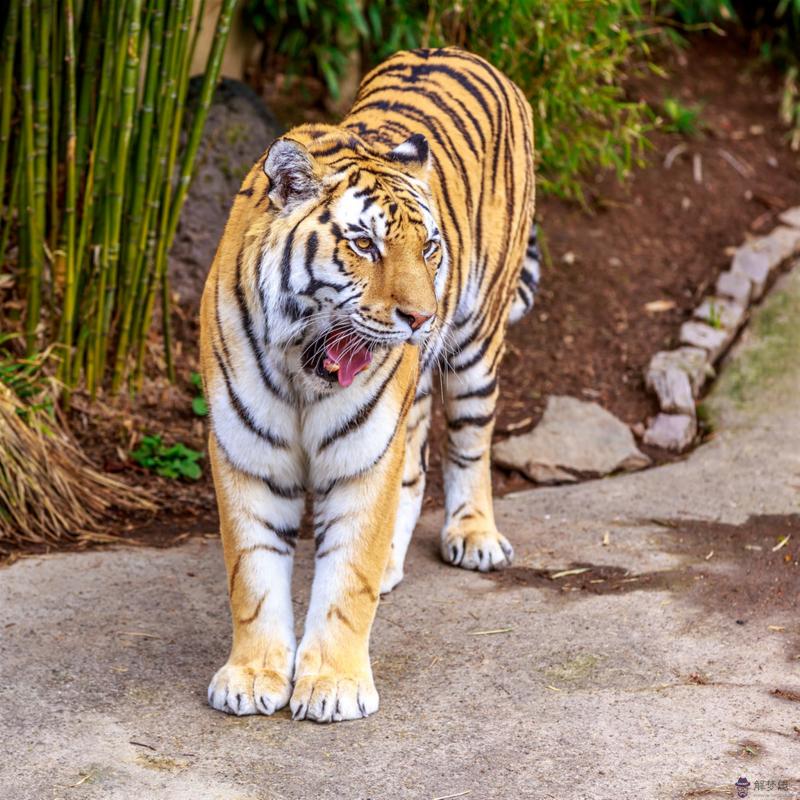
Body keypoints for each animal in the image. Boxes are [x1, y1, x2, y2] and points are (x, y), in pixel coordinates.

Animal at [198, 47, 536, 720]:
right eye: (364, 244)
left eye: (428, 248)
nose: (421, 318)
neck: (301, 363)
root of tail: (461, 51)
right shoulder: (247, 455)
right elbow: (252, 575)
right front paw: (252, 676)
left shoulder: (361, 454)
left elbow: (346, 579)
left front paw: (332, 685)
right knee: (415, 465)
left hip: (477, 344)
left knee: (469, 444)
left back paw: (475, 536)